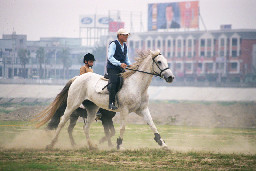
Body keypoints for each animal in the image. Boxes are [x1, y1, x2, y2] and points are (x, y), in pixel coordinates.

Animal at [45, 49, 174, 150]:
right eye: (159, 61)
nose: (171, 77)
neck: (136, 85)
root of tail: (77, 78)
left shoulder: (142, 109)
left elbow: (152, 125)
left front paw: (162, 144)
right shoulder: (124, 110)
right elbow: (122, 128)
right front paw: (119, 145)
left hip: (91, 109)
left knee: (86, 128)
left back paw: (91, 145)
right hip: (72, 105)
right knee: (62, 123)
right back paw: (51, 144)